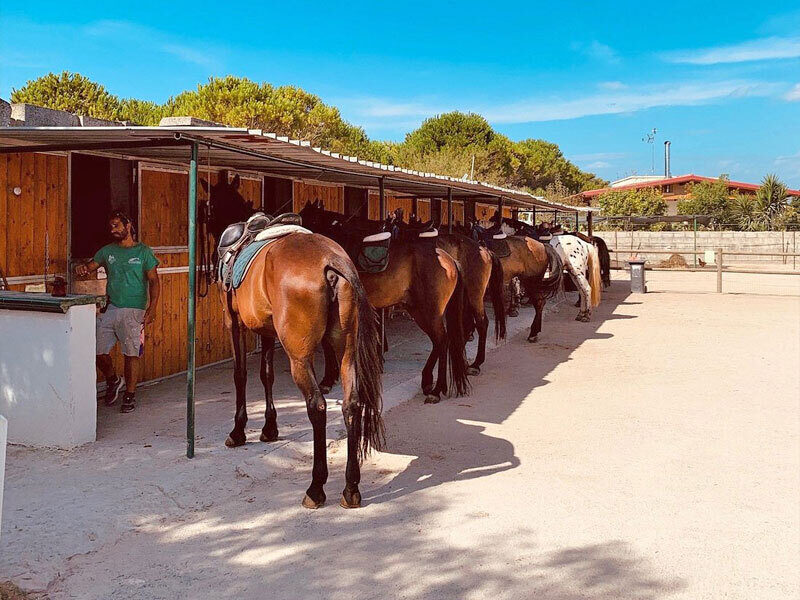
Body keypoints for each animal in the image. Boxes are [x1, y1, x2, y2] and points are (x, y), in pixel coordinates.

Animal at [300, 201, 470, 404]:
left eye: (310, 219)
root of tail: (449, 259)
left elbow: (327, 343)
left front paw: (327, 380)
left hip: (428, 312)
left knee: (442, 341)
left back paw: (436, 390)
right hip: (417, 310)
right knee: (439, 342)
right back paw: (428, 381)